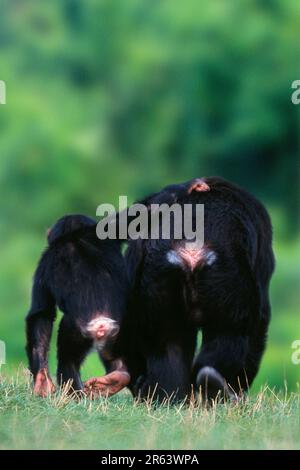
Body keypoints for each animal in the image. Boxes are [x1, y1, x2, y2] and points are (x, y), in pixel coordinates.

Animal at [25, 215, 129, 398]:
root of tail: (102, 323)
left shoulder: (43, 265)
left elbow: (42, 313)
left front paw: (42, 379)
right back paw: (116, 378)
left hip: (75, 331)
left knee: (68, 361)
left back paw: (74, 394)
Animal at [117, 178, 274, 402]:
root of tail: (191, 249)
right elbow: (260, 321)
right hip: (228, 274)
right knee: (230, 332)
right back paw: (218, 387)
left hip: (157, 275)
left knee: (168, 342)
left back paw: (169, 396)